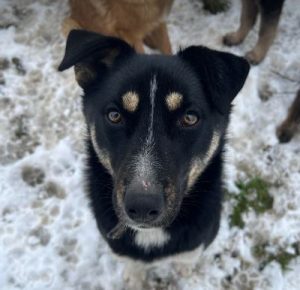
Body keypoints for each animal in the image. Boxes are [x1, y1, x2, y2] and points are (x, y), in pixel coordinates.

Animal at [58, 28, 248, 284]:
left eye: (190, 118)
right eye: (114, 115)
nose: (142, 206)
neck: (151, 234)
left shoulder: (197, 242)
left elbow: (187, 259)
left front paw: (185, 272)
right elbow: (134, 267)